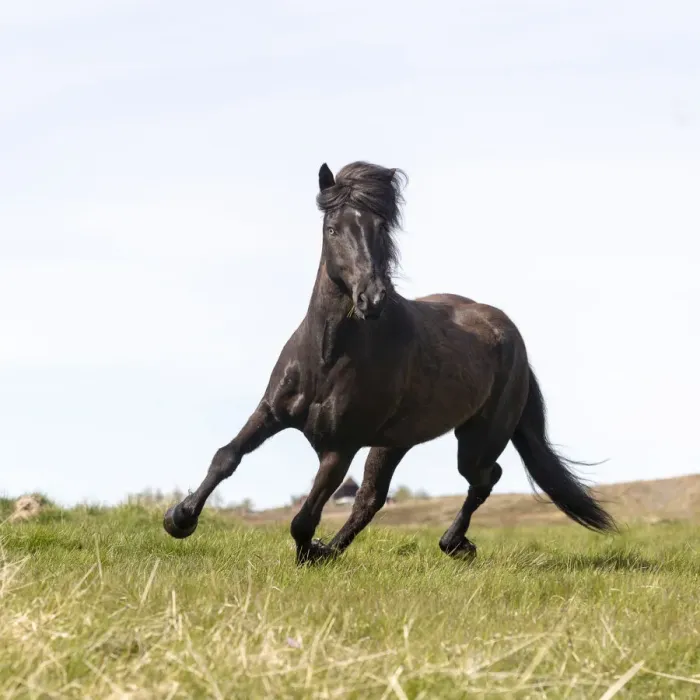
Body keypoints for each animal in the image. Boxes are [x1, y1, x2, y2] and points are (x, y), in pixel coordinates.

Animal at [163, 161, 616, 564]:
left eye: (381, 228)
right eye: (332, 229)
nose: (372, 298)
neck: (327, 356)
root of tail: (509, 334)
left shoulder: (340, 446)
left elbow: (304, 517)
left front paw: (309, 552)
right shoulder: (271, 412)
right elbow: (227, 456)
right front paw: (179, 518)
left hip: (476, 439)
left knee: (484, 478)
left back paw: (453, 544)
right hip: (394, 441)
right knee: (372, 498)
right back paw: (342, 549)